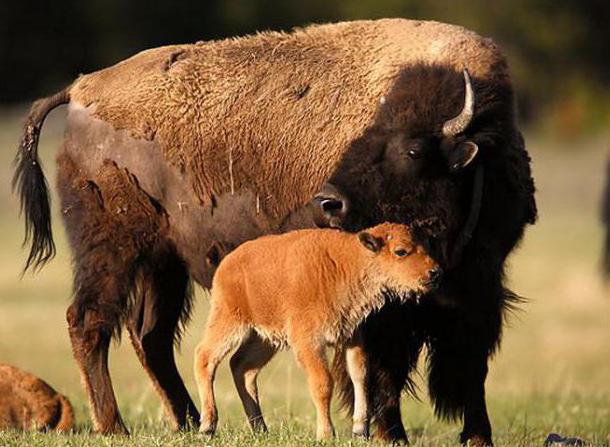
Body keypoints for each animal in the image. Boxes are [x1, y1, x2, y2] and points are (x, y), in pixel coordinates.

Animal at [194, 222, 436, 440]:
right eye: (401, 251)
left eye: (424, 245)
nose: (435, 272)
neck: (348, 263)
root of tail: (227, 262)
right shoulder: (309, 343)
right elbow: (323, 384)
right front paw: (326, 434)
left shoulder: (352, 338)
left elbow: (360, 377)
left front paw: (360, 431)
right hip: (229, 322)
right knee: (205, 358)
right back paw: (207, 427)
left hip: (264, 339)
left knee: (242, 368)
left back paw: (260, 429)